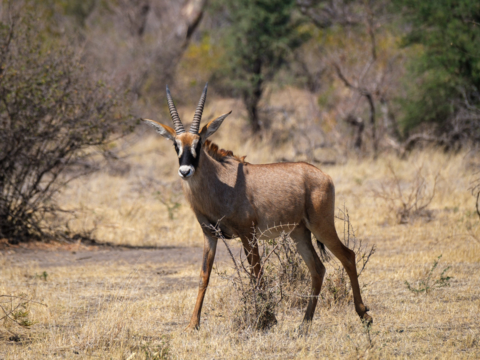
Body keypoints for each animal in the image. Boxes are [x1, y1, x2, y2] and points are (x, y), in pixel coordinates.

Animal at [142, 83, 372, 330]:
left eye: (199, 143)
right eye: (175, 144)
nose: (185, 171)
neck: (221, 181)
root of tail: (324, 176)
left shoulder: (248, 235)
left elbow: (257, 274)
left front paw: (268, 319)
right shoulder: (210, 235)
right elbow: (204, 276)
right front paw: (192, 324)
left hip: (321, 226)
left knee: (348, 256)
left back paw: (363, 315)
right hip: (299, 233)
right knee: (317, 268)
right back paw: (304, 324)